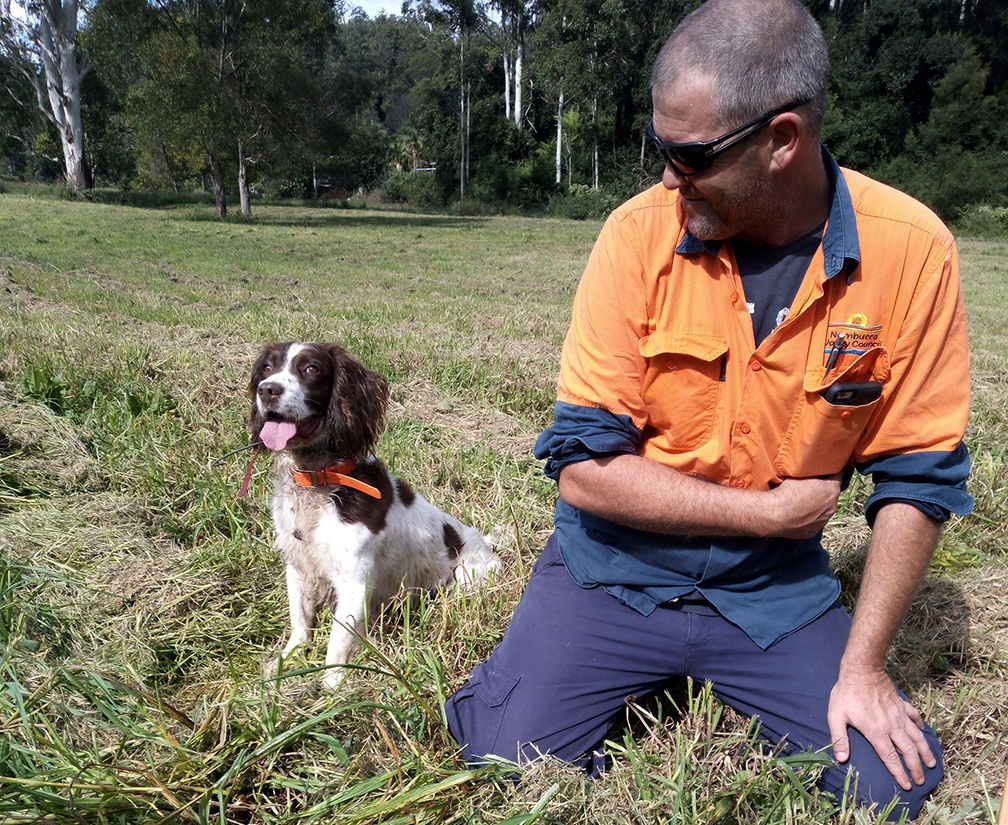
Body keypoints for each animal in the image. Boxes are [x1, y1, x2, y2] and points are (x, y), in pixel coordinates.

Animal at [244, 340, 495, 689]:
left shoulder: (354, 581)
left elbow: (337, 639)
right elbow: (300, 621)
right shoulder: (298, 566)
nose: (268, 390)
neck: (318, 479)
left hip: (467, 576)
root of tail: (486, 542)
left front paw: (331, 684)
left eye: (311, 368)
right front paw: (287, 659)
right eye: (267, 368)